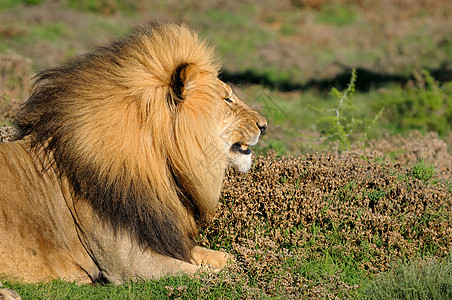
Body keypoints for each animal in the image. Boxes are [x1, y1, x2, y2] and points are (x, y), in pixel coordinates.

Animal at [0, 22, 266, 284]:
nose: (264, 125)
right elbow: (211, 275)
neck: (158, 164)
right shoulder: (131, 264)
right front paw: (241, 278)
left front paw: (252, 263)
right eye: (227, 100)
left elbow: (226, 257)